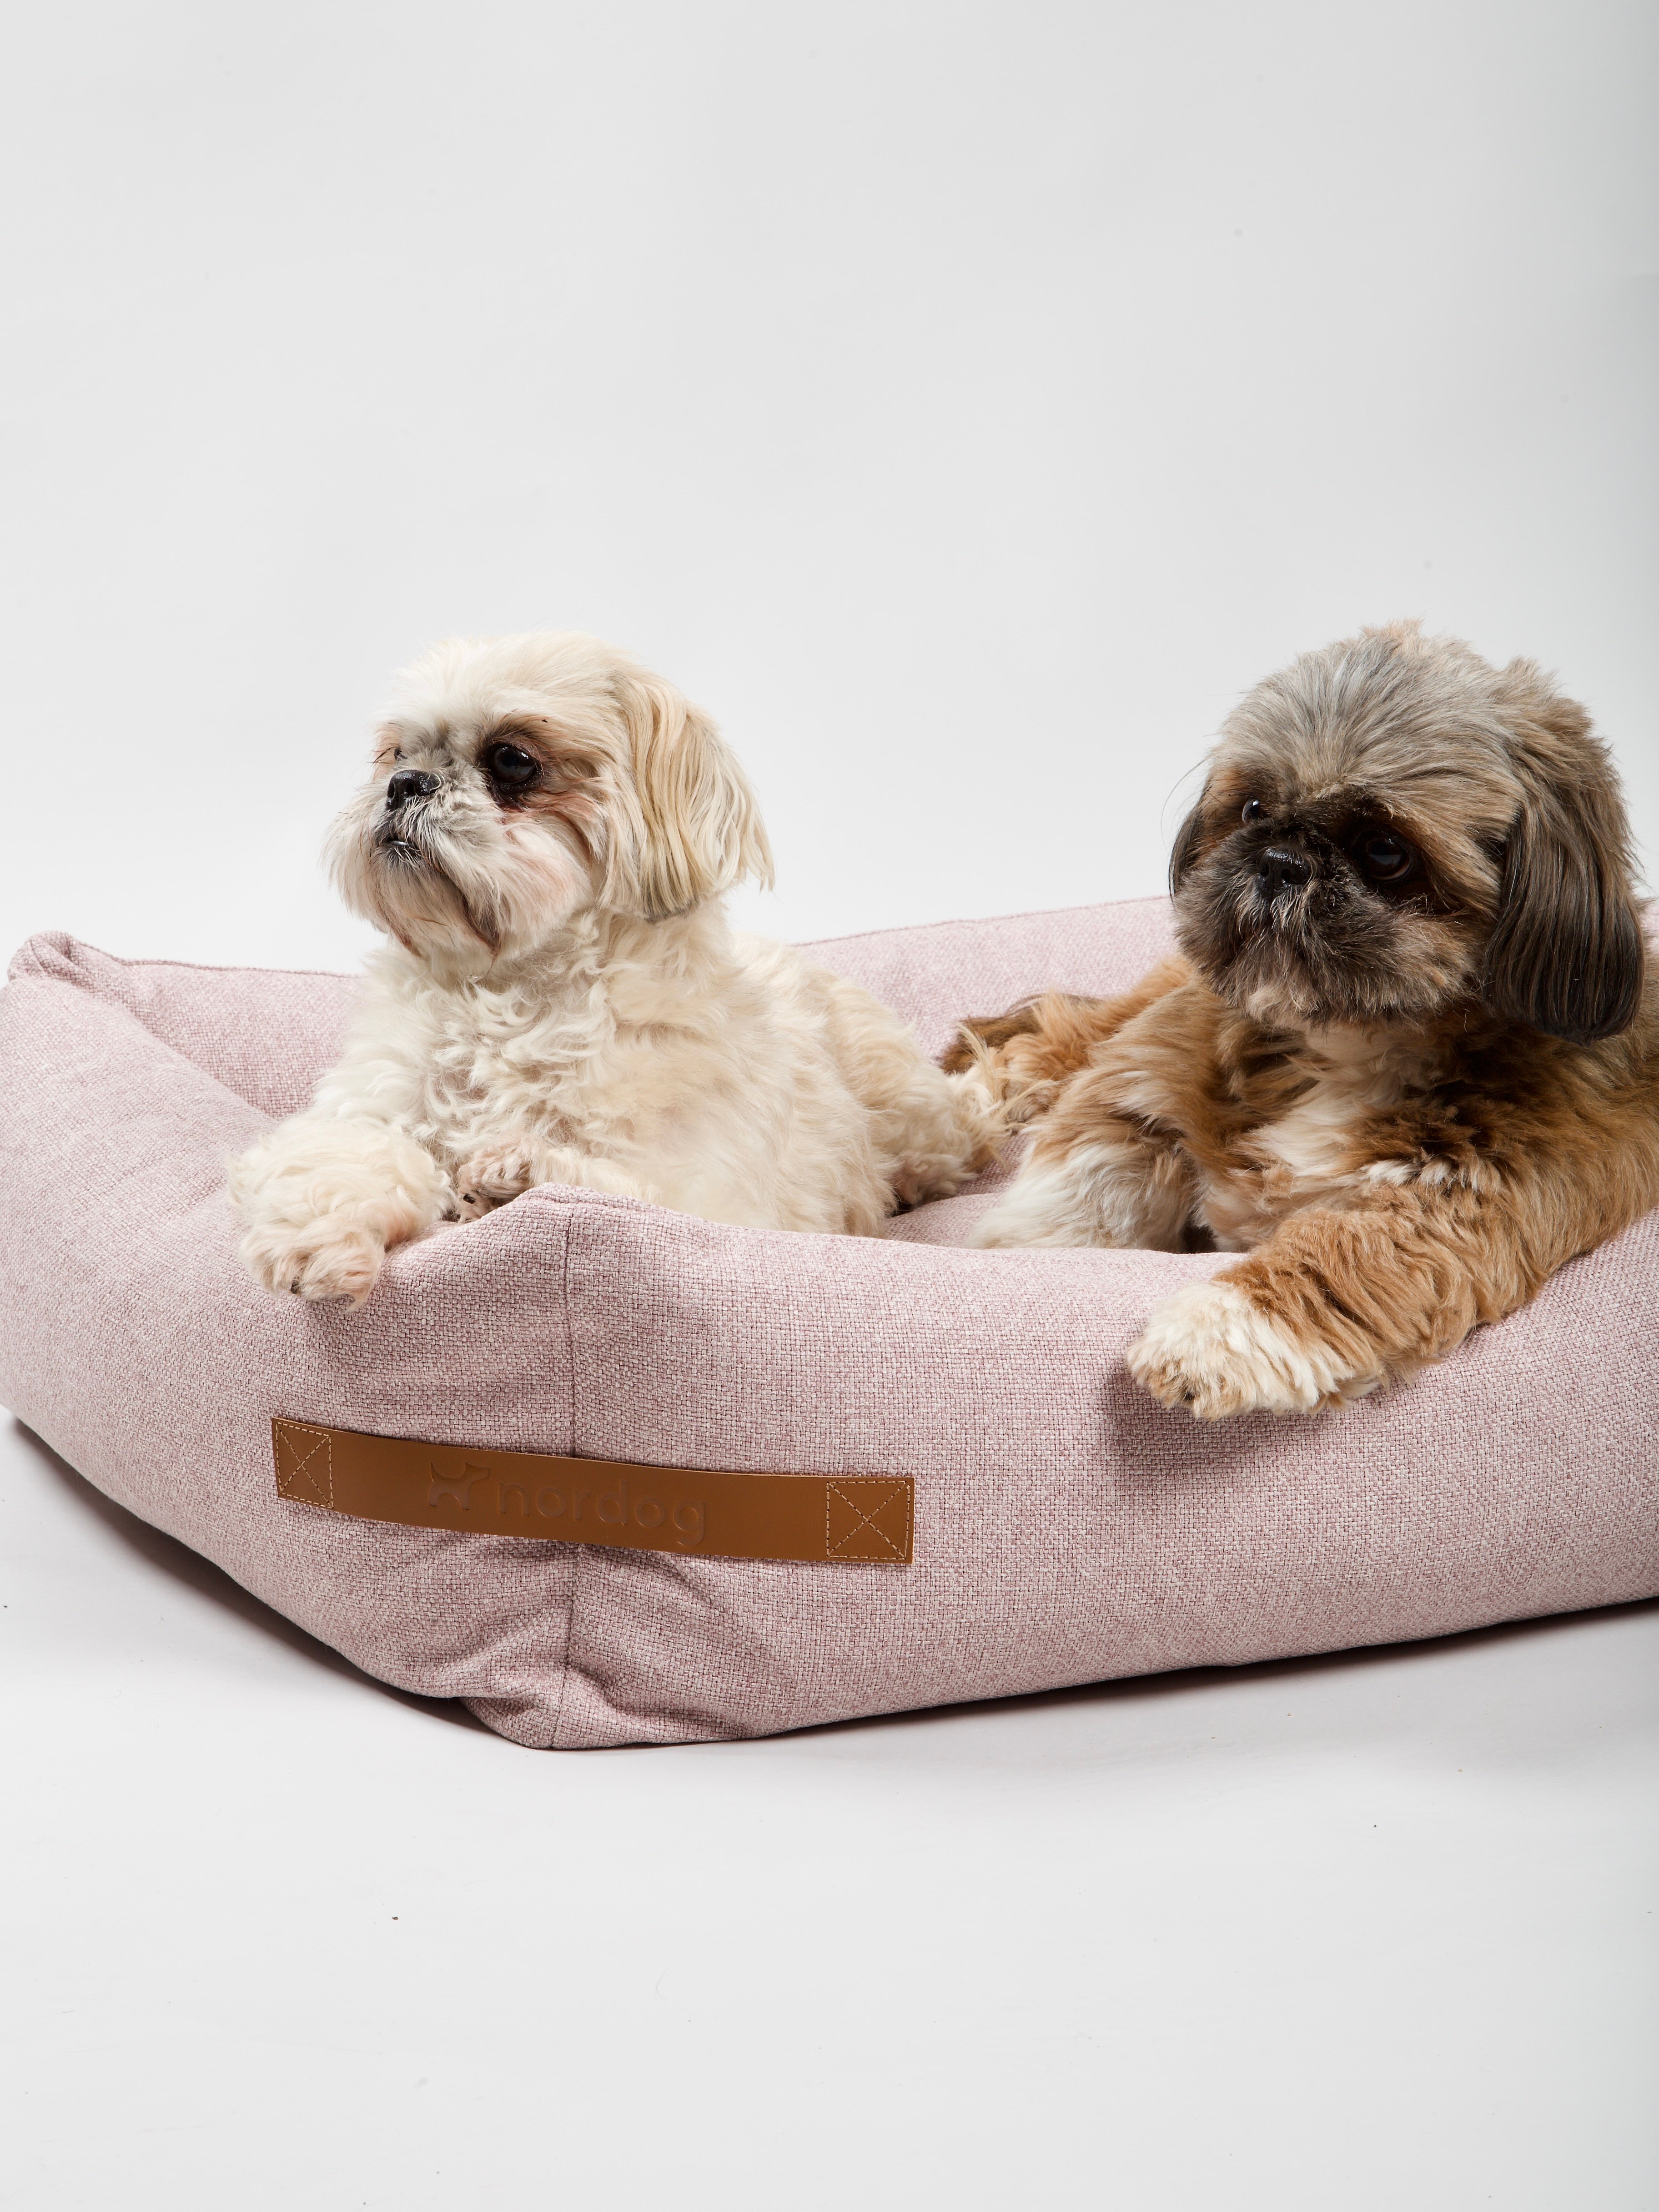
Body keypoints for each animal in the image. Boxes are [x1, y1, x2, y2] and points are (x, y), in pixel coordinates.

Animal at [233, 630, 997, 1302]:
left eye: (512, 760)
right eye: (395, 752)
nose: (404, 784)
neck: (514, 990)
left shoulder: (722, 1200)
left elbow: (629, 1190)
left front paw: (518, 1172)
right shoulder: (364, 1111)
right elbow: (344, 1157)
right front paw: (319, 1239)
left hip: (910, 1117)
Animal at [946, 621, 1657, 1418]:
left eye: (1386, 850)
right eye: (1255, 808)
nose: (1280, 861)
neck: (1348, 1036)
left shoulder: (1472, 1197)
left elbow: (1342, 1255)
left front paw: (1216, 1330)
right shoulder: (1144, 1079)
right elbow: (1088, 1184)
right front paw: (1023, 1253)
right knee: (1050, 1040)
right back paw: (968, 1103)